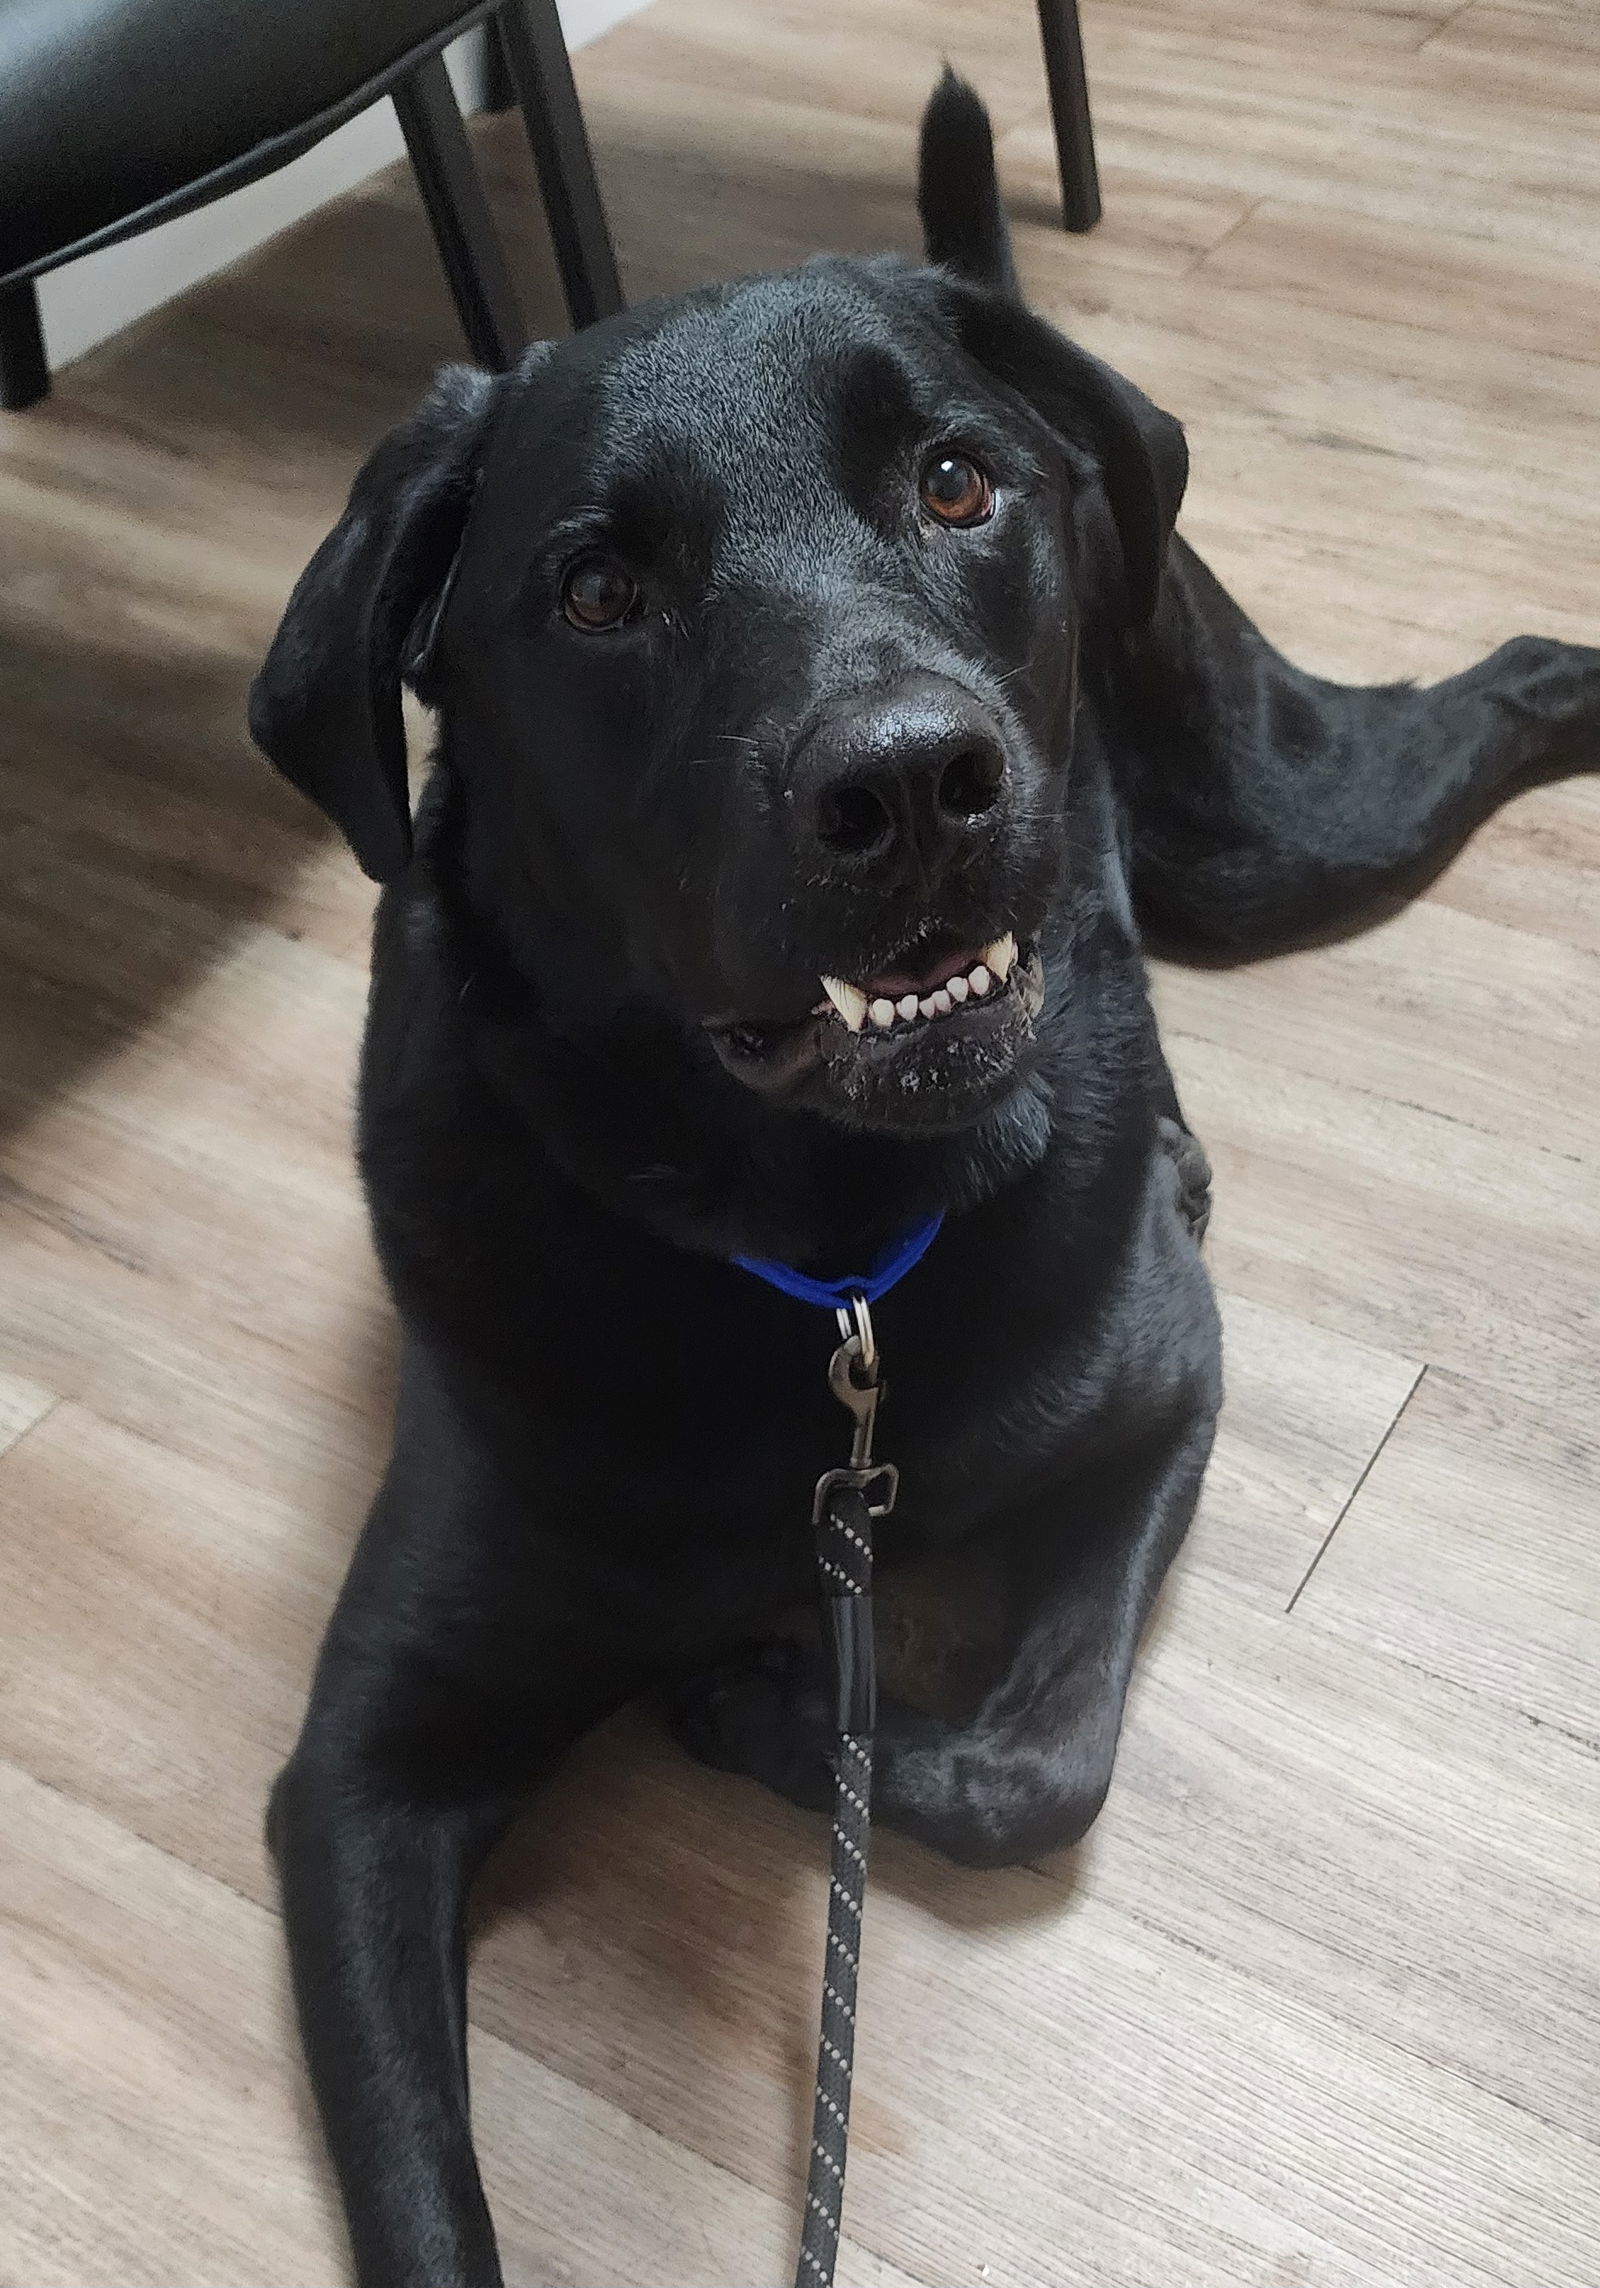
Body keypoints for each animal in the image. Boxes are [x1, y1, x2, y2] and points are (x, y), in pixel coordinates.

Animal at [250, 71, 1600, 2288]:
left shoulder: (1158, 1392)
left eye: (954, 484)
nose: (910, 782)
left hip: (1281, 814)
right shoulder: (361, 1769)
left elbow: (1036, 1764)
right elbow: (422, 2199)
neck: (824, 1263)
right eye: (596, 591)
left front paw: (766, 1708)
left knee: (1496, 678)